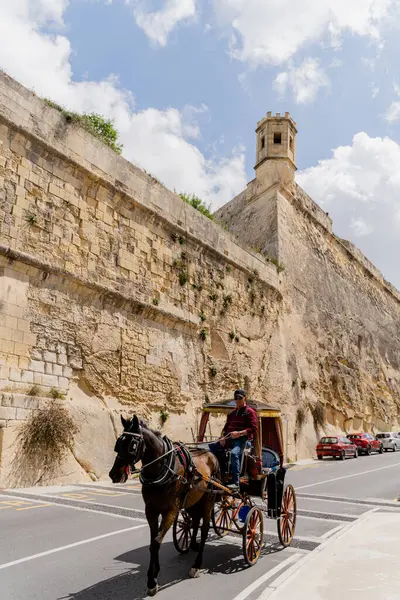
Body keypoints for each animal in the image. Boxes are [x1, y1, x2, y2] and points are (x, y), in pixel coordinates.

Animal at [108, 414, 220, 596]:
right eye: (118, 443)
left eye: (132, 445)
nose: (114, 474)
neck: (164, 467)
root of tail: (210, 454)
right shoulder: (151, 511)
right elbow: (153, 542)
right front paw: (154, 573)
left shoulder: (171, 512)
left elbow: (156, 542)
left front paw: (152, 581)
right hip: (193, 500)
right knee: (195, 521)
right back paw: (192, 545)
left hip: (208, 500)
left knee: (204, 530)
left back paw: (196, 565)